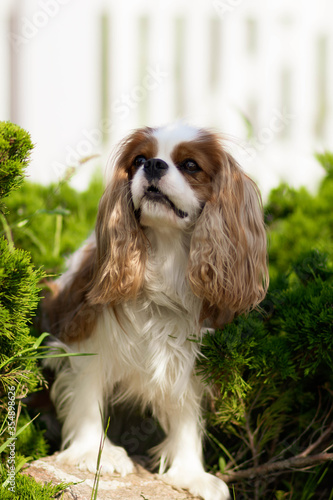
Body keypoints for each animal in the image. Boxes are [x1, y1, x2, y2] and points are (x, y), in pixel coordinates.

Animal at [43, 122, 268, 500]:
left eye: (191, 165)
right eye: (139, 160)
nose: (153, 165)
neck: (165, 253)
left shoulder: (190, 358)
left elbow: (186, 415)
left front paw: (191, 473)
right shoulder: (86, 334)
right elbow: (87, 394)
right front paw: (94, 452)